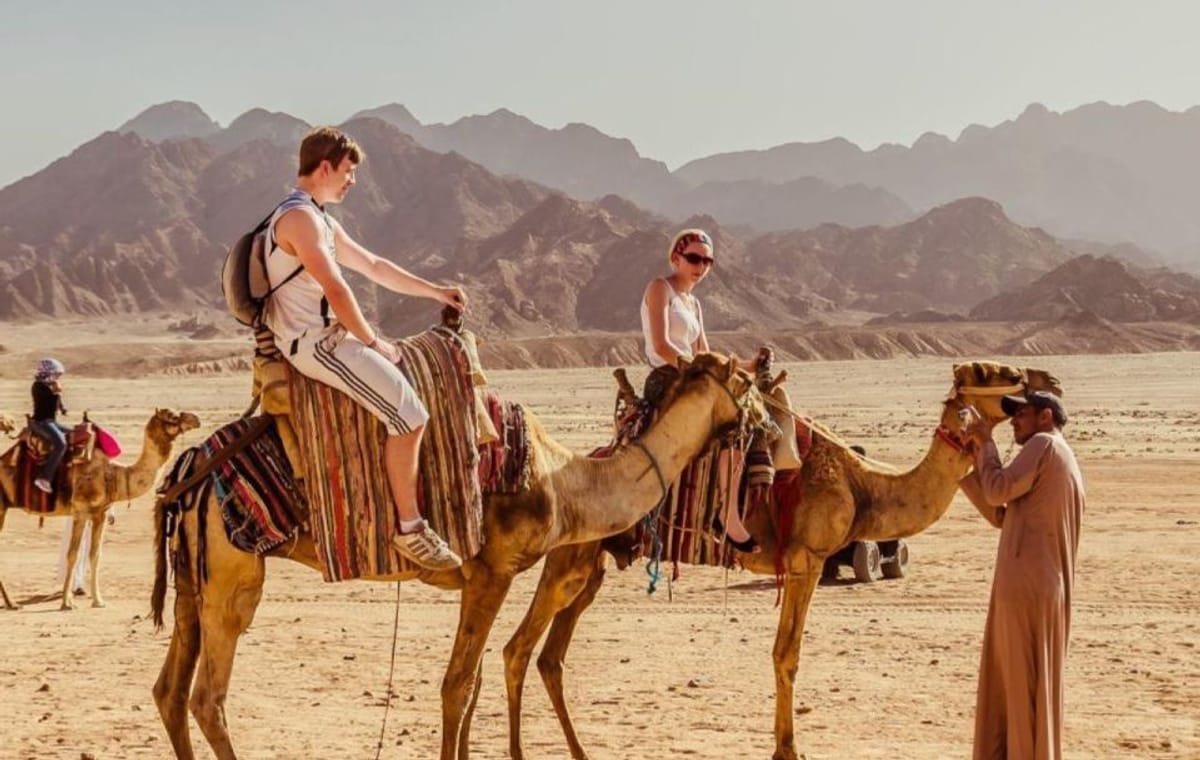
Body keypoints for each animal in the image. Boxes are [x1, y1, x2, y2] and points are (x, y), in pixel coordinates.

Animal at [0, 408, 200, 610]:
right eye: (173, 416)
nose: (195, 420)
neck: (113, 475)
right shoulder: (81, 511)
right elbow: (72, 554)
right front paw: (67, 602)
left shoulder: (100, 513)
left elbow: (95, 555)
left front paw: (98, 600)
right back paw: (12, 603)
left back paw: (11, 603)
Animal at [149, 352, 767, 760]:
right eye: (749, 383)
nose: (764, 423)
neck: (564, 482)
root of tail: (186, 470)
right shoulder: (493, 570)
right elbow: (457, 685)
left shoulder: (479, 577)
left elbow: (470, 685)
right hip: (233, 573)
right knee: (207, 698)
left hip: (192, 581)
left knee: (170, 692)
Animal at [499, 360, 1063, 760]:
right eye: (996, 373)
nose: (1050, 381)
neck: (863, 486)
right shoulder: (805, 559)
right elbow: (786, 654)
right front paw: (789, 748)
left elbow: (783, 653)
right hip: (569, 561)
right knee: (517, 648)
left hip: (590, 567)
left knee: (551, 656)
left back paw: (581, 751)